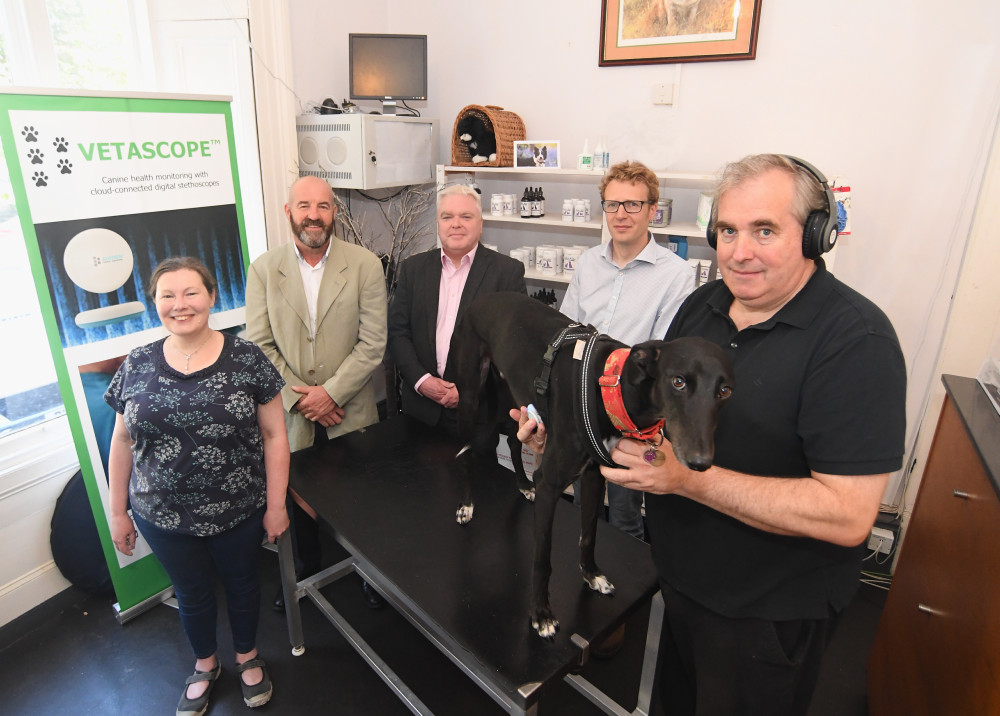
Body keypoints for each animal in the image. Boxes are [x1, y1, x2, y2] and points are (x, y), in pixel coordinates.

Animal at [450, 294, 732, 640]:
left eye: (724, 391)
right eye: (678, 381)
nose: (700, 462)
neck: (610, 387)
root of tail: (482, 299)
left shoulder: (595, 477)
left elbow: (588, 536)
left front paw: (592, 575)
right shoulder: (550, 483)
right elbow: (542, 558)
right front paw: (541, 614)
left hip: (514, 398)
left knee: (516, 442)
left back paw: (523, 485)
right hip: (469, 395)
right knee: (467, 452)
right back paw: (466, 504)